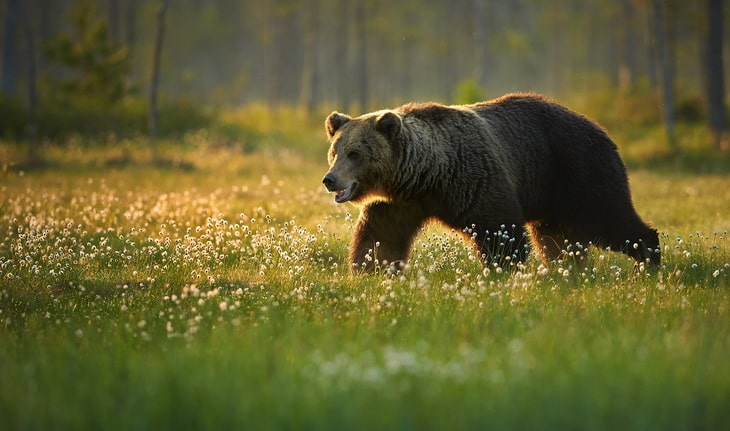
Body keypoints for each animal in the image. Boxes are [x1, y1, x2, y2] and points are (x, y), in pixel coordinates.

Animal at [322, 93, 656, 272]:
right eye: (335, 152)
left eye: (355, 153)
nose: (330, 180)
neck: (426, 175)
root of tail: (602, 129)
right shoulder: (398, 203)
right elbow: (380, 238)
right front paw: (371, 269)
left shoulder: (474, 180)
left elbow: (499, 231)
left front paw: (500, 270)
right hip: (552, 196)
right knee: (556, 240)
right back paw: (565, 271)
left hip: (578, 171)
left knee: (609, 218)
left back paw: (647, 262)